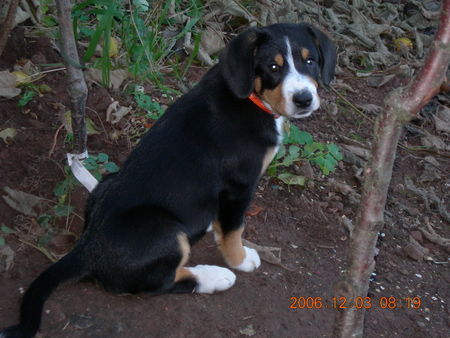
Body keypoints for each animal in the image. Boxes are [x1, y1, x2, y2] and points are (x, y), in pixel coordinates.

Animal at [1, 23, 336, 338]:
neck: (250, 100)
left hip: (106, 181)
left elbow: (223, 222)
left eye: (310, 61)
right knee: (159, 284)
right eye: (273, 67)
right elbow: (234, 229)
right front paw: (239, 259)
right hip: (166, 229)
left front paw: (214, 228)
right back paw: (215, 277)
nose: (304, 99)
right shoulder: (239, 185)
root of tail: (87, 249)